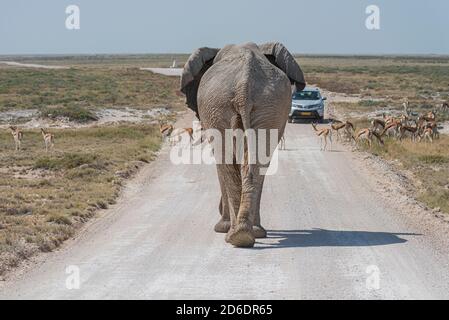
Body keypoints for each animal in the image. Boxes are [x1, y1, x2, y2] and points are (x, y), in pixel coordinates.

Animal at [178, 42, 304, 248]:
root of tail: (244, 85)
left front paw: (222, 228)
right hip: (268, 106)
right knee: (257, 164)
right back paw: (248, 234)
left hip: (219, 106)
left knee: (227, 161)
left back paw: (233, 235)